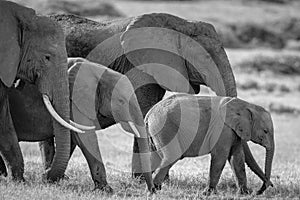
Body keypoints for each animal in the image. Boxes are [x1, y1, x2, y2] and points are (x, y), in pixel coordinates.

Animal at [4, 59, 155, 194]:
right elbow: (85, 137)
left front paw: (49, 177)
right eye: (121, 101)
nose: (151, 191)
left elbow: (73, 137)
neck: (99, 72)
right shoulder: (74, 102)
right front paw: (107, 190)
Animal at [45, 13, 266, 183]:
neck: (181, 24)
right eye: (205, 58)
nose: (264, 187)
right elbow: (142, 111)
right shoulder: (139, 65)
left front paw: (162, 180)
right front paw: (143, 179)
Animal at [145, 94, 274, 195]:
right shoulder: (223, 130)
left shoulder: (233, 132)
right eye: (265, 131)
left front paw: (244, 193)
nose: (258, 191)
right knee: (171, 156)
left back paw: (150, 189)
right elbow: (220, 157)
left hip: (156, 131)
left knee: (153, 157)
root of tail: (149, 114)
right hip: (165, 129)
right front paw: (208, 193)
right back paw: (155, 190)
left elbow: (237, 158)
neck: (246, 105)